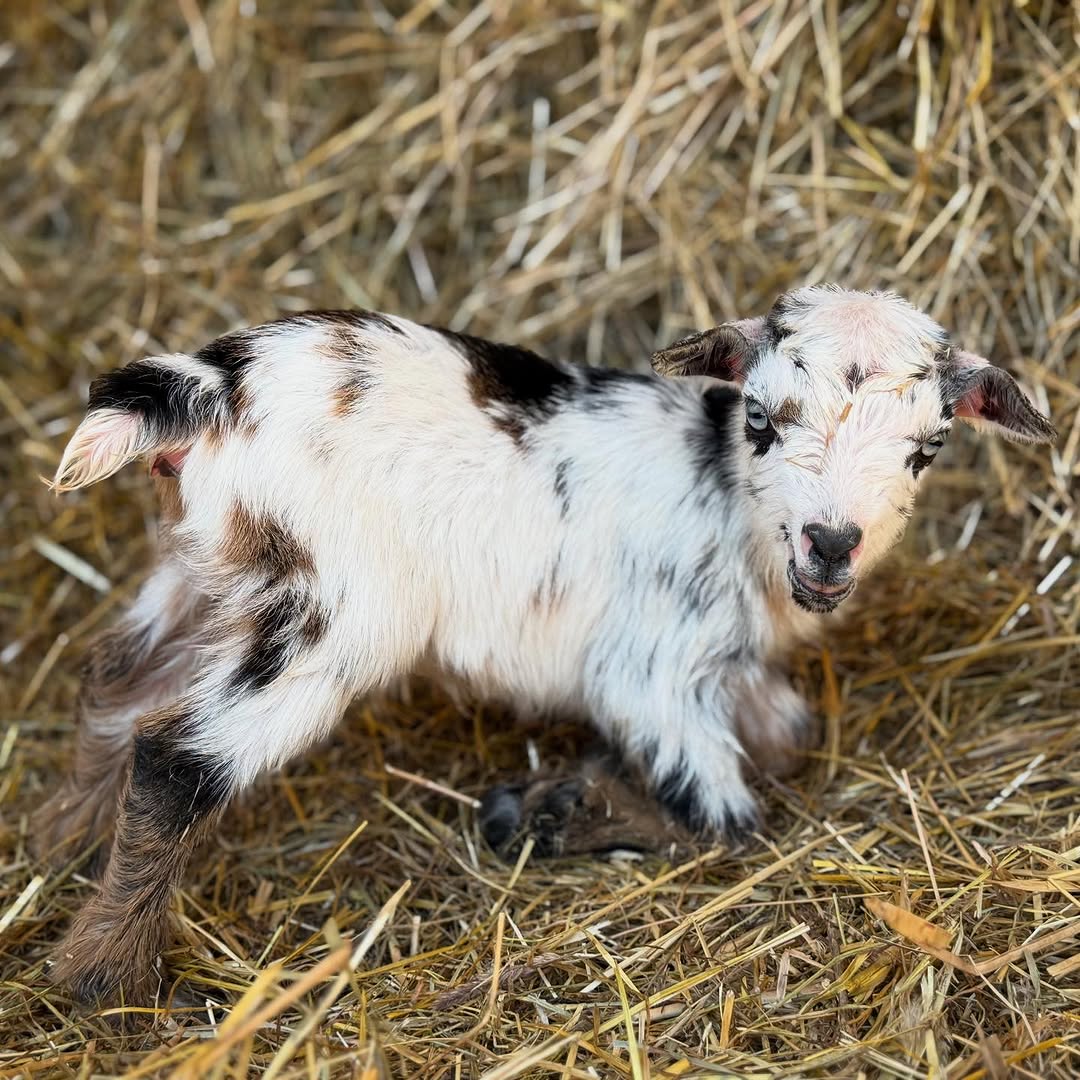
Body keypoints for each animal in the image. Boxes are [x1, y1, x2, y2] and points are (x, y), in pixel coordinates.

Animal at [39, 285, 1055, 1001]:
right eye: (763, 419)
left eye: (927, 447)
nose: (832, 545)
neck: (732, 506)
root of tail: (212, 383)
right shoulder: (653, 674)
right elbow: (725, 825)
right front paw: (556, 811)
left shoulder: (728, 668)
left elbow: (786, 735)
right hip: (335, 611)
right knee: (177, 756)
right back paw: (105, 974)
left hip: (216, 573)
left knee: (122, 687)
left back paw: (66, 844)